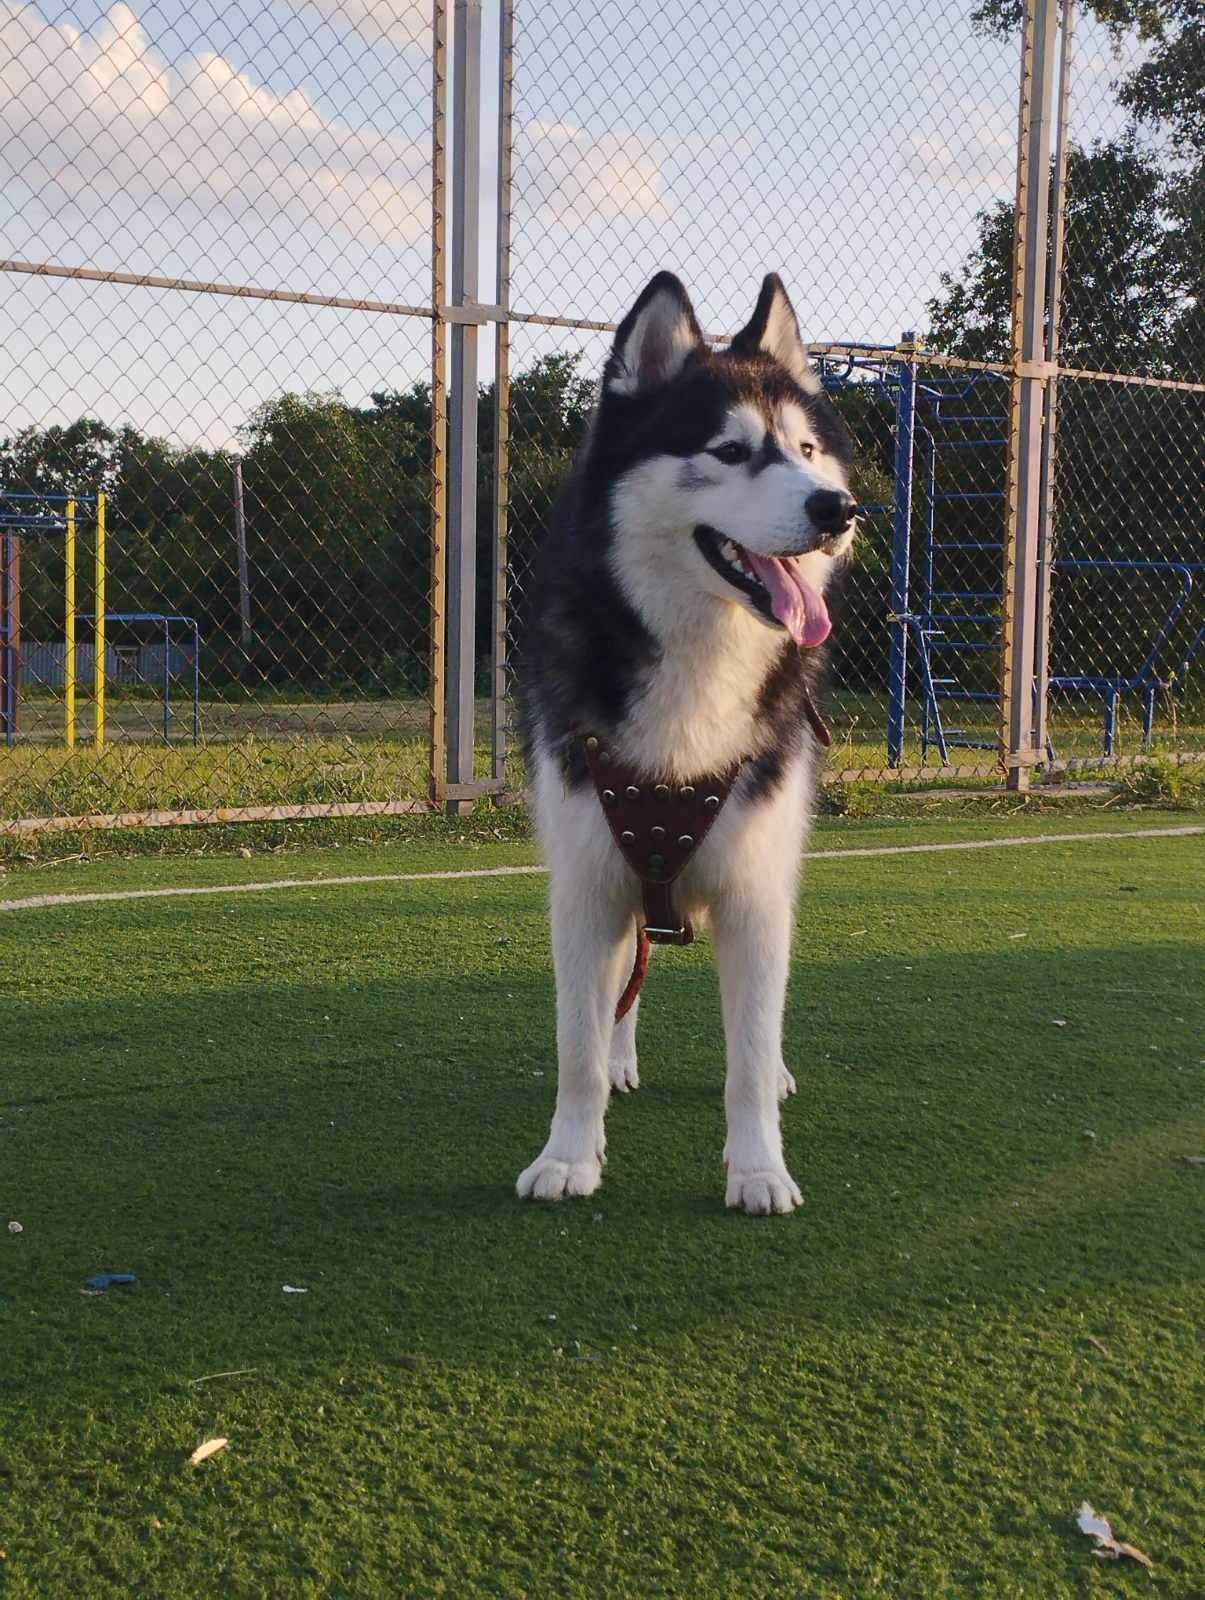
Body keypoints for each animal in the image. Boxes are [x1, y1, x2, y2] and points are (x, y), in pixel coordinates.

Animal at [518, 272, 857, 1209]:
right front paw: (569, 1155)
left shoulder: (754, 893)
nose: (838, 509)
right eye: (730, 452)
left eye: (805, 450)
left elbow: (747, 1057)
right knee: (623, 986)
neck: (701, 661)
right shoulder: (587, 884)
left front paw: (758, 1168)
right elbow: (575, 1046)